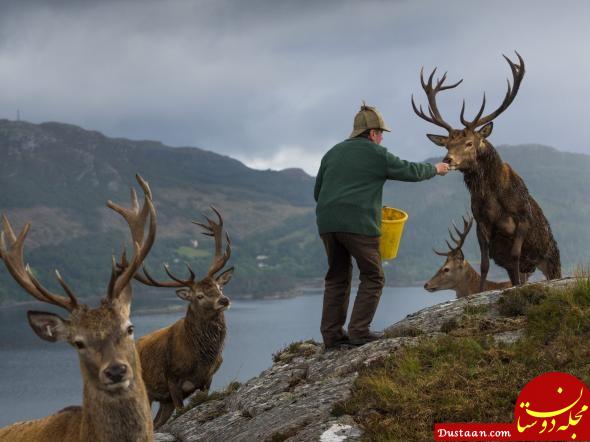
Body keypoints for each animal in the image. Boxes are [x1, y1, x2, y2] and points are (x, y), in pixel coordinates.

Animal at [129, 207, 234, 428]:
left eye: (219, 287)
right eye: (199, 295)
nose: (224, 300)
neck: (201, 359)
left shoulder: (207, 380)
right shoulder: (172, 380)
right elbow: (181, 409)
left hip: (163, 401)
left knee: (157, 423)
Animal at [414, 51, 560, 290]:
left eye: (469, 143)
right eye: (447, 145)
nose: (448, 159)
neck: (493, 200)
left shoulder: (522, 219)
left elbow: (516, 255)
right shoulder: (480, 224)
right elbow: (484, 264)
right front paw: (480, 291)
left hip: (552, 257)